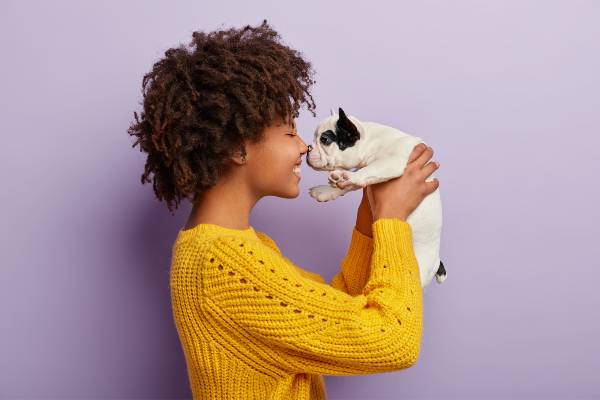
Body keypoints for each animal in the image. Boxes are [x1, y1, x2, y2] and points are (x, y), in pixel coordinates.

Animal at [308, 106, 442, 288]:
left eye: (324, 139)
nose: (308, 148)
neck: (370, 141)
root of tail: (437, 261)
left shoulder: (393, 161)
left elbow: (368, 171)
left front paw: (346, 177)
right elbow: (354, 182)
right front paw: (327, 190)